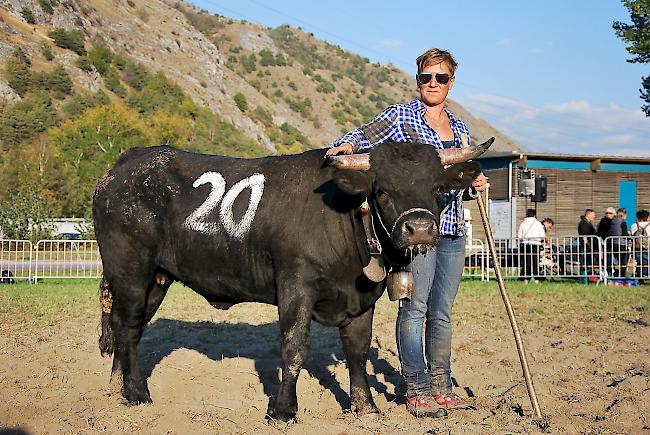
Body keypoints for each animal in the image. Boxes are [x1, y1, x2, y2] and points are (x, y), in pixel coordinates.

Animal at [92, 141, 492, 422]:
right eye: (382, 190)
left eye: (439, 189)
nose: (420, 229)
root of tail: (125, 165)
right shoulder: (295, 285)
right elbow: (294, 347)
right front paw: (283, 410)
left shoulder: (363, 299)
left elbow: (357, 351)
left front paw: (365, 407)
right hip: (130, 270)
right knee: (126, 326)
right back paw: (137, 393)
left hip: (157, 278)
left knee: (130, 329)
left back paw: (118, 386)